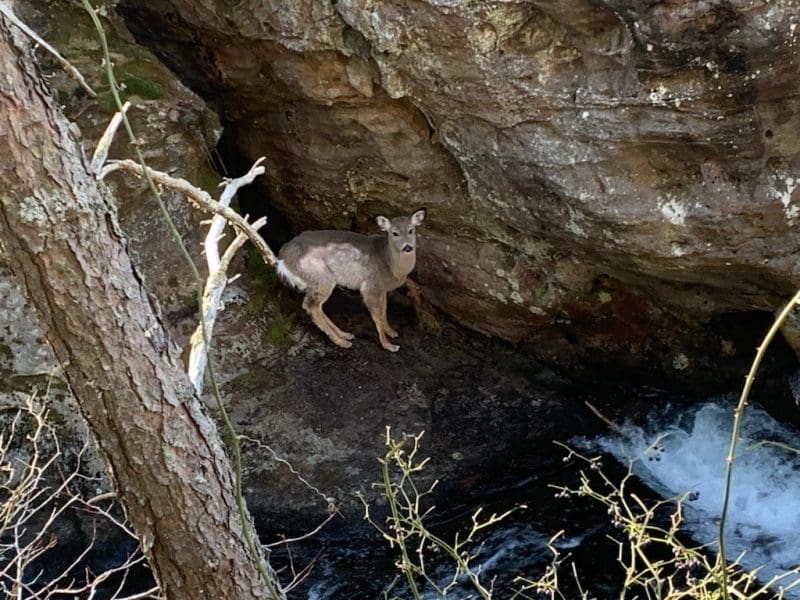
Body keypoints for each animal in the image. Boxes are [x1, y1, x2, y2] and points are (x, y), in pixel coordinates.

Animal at [276, 208, 427, 352]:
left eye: (411, 230)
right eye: (394, 233)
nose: (407, 247)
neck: (390, 265)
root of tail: (282, 258)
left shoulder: (382, 288)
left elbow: (384, 310)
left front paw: (392, 331)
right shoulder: (370, 286)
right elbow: (376, 315)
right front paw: (389, 345)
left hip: (316, 282)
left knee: (314, 306)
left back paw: (345, 334)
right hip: (321, 276)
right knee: (311, 306)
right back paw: (342, 342)